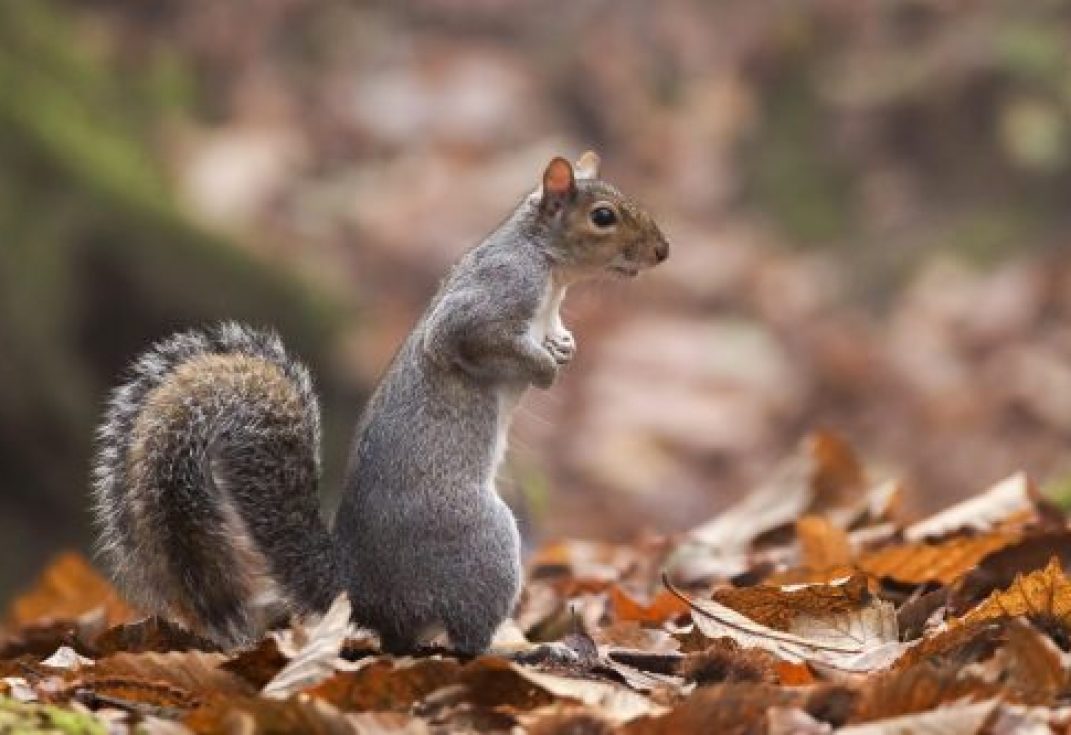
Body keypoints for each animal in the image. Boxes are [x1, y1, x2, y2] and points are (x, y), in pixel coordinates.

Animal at [90, 152, 669, 654]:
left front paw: (564, 346)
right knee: (466, 640)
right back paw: (524, 652)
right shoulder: (495, 295)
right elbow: (469, 339)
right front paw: (546, 369)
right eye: (603, 217)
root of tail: (361, 591)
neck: (547, 265)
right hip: (482, 543)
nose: (663, 250)